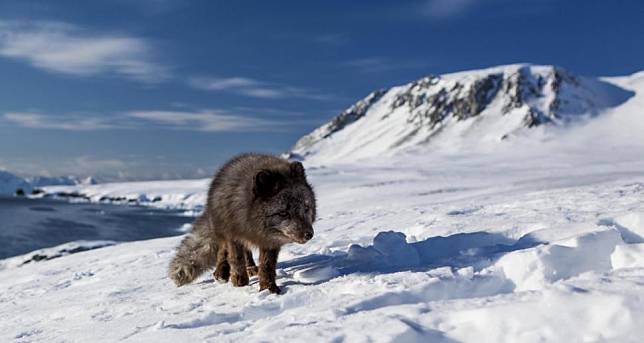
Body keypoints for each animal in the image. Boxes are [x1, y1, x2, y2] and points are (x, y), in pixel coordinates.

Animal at [169, 155, 314, 294]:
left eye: (306, 208)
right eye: (283, 213)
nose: (309, 234)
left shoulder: (270, 241)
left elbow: (267, 265)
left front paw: (268, 288)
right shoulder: (233, 233)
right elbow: (236, 258)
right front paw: (240, 282)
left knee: (247, 253)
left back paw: (251, 268)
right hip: (222, 229)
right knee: (223, 251)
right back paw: (221, 272)